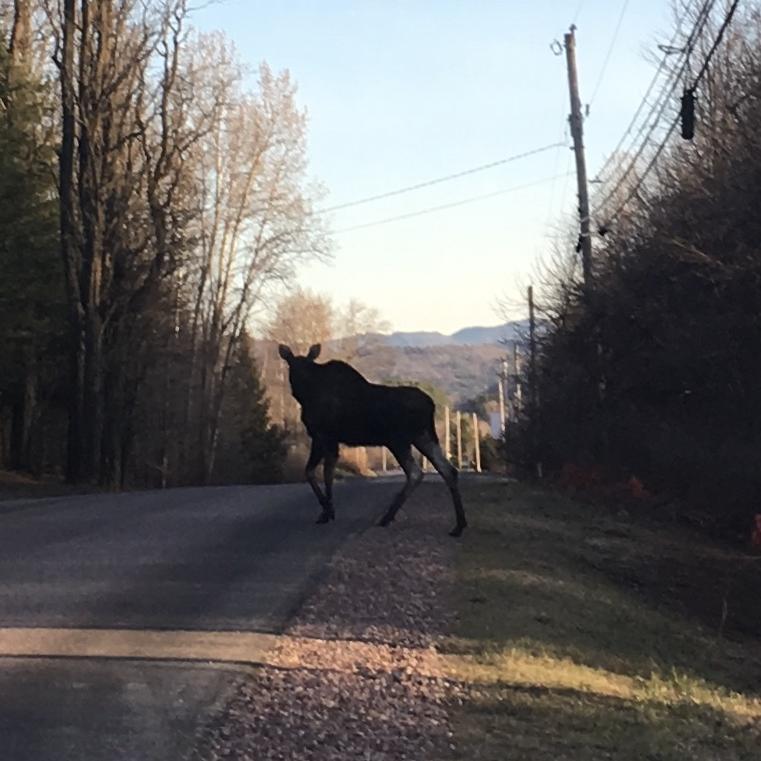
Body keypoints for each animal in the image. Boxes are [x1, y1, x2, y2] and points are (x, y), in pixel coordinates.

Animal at [278, 343, 467, 537]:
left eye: (301, 367)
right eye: (292, 366)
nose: (299, 384)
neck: (308, 394)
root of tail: (431, 405)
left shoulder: (323, 436)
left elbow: (319, 473)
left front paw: (327, 511)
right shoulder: (327, 439)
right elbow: (318, 472)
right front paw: (327, 511)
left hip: (399, 440)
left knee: (416, 472)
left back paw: (387, 517)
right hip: (423, 437)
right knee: (447, 470)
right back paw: (459, 525)